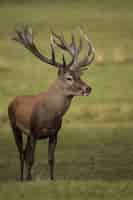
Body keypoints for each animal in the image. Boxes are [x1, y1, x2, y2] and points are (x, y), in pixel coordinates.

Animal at [7, 25, 95, 181]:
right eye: (69, 77)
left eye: (79, 76)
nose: (88, 88)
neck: (50, 115)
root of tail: (13, 101)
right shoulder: (34, 131)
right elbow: (32, 159)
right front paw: (29, 179)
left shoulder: (54, 133)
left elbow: (51, 159)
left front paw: (51, 179)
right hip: (14, 126)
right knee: (21, 154)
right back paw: (22, 178)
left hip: (27, 134)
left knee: (25, 152)